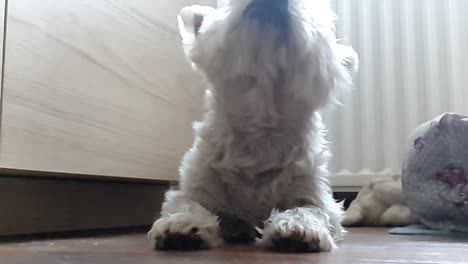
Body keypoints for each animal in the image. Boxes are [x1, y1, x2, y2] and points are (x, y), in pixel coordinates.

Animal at [149, 0, 358, 253]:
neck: (260, 128)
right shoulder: (199, 182)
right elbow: (188, 203)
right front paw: (182, 225)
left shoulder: (311, 190)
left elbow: (310, 209)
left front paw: (297, 229)